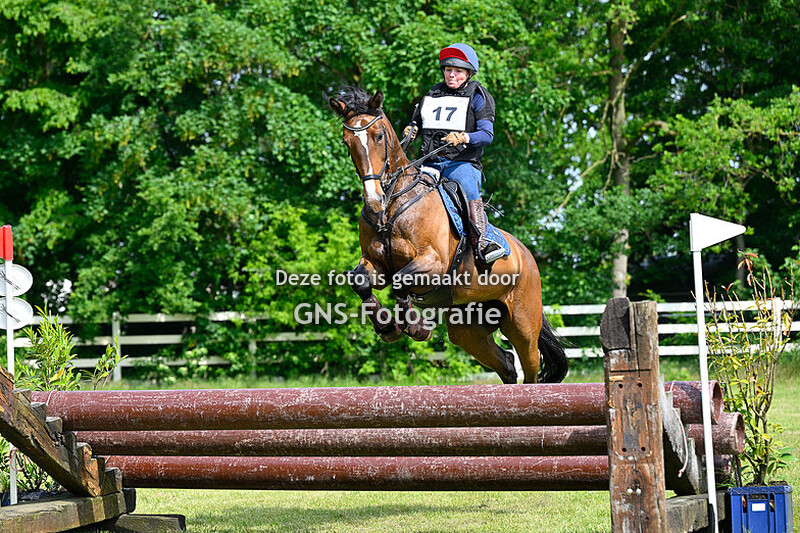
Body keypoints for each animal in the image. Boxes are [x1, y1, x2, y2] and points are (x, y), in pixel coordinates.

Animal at [327, 86, 568, 384]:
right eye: (347, 142)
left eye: (379, 136)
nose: (373, 200)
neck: (393, 205)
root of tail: (527, 255)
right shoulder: (377, 264)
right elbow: (361, 281)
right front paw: (388, 329)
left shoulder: (434, 264)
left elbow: (400, 282)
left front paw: (415, 328)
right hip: (468, 327)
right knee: (507, 364)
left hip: (523, 323)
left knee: (530, 366)